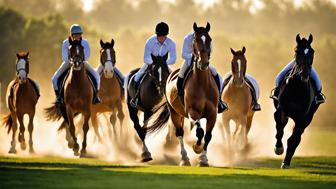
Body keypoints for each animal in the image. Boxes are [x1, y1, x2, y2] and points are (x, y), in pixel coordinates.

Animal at [146, 22, 219, 167]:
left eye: (209, 40)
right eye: (195, 41)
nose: (203, 63)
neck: (202, 83)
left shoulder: (213, 113)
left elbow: (208, 135)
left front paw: (204, 159)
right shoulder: (192, 111)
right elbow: (200, 131)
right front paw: (197, 148)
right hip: (175, 113)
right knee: (179, 133)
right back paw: (185, 159)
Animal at [272, 34, 320, 168]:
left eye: (312, 52)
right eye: (297, 51)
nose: (305, 74)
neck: (297, 88)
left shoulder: (303, 117)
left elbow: (293, 139)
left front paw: (286, 161)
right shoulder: (281, 111)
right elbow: (279, 131)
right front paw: (278, 149)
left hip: (307, 119)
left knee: (296, 138)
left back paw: (286, 162)